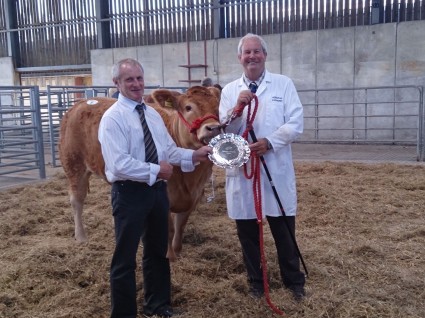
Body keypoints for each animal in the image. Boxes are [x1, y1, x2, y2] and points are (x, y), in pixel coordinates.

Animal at [59, 85, 220, 260]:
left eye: (217, 106)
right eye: (188, 107)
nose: (214, 128)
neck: (190, 178)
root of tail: (80, 103)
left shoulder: (194, 196)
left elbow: (180, 226)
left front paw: (177, 251)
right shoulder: (164, 197)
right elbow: (169, 230)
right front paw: (169, 256)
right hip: (73, 165)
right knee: (77, 200)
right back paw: (81, 236)